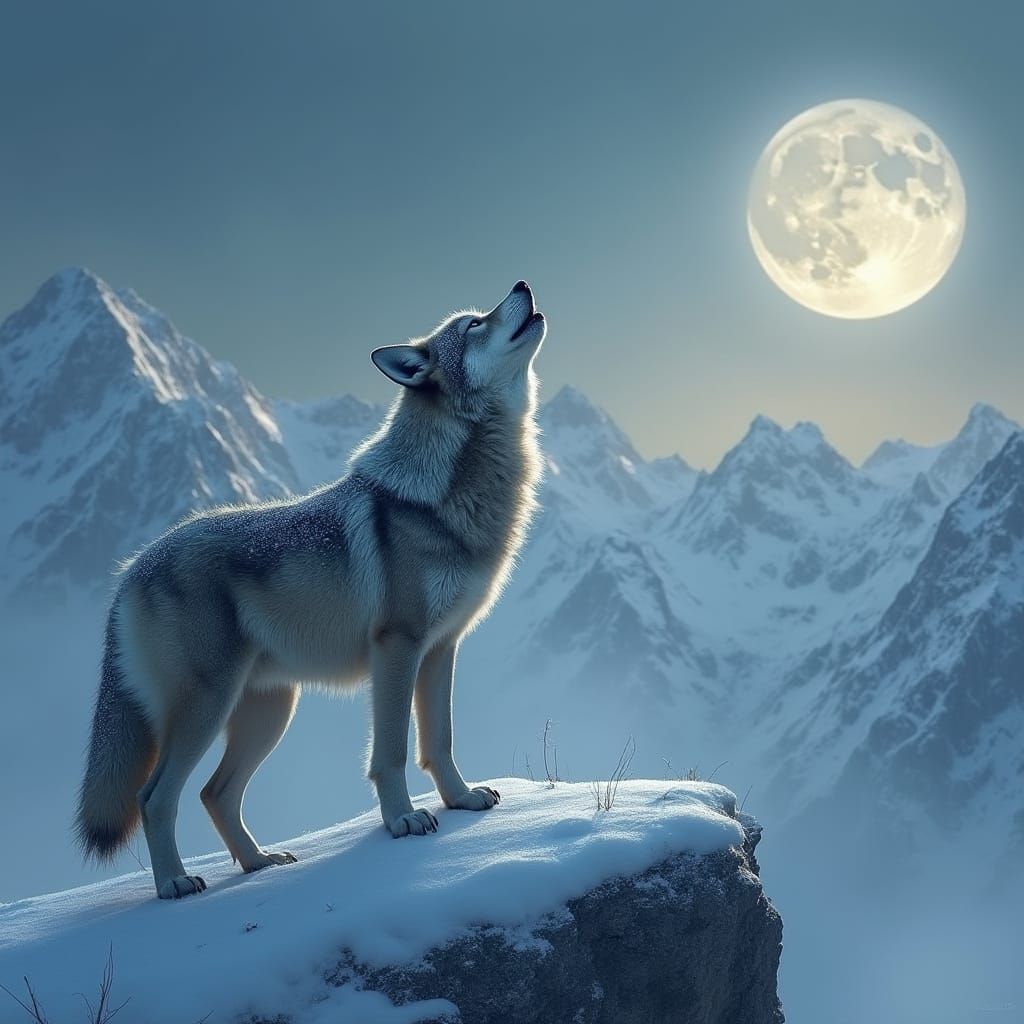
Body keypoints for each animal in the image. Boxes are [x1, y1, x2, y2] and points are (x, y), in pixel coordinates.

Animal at [75, 281, 546, 899]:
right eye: (472, 325)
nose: (522, 285)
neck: (445, 493)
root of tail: (130, 569)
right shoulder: (397, 648)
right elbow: (392, 752)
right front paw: (403, 820)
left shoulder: (441, 648)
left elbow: (438, 741)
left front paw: (461, 800)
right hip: (209, 707)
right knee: (154, 797)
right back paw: (175, 883)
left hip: (270, 712)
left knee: (213, 794)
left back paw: (258, 863)